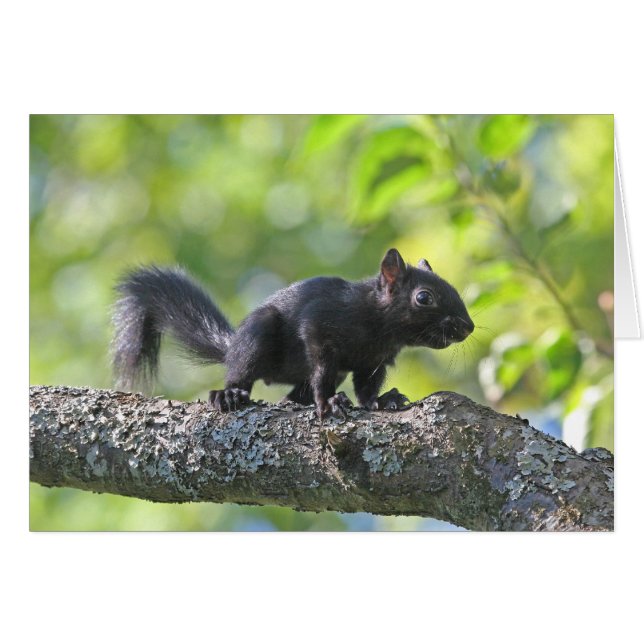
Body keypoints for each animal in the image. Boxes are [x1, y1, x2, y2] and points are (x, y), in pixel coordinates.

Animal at [112, 248, 474, 419]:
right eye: (424, 297)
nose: (468, 326)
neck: (378, 326)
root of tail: (231, 345)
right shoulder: (320, 325)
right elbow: (322, 368)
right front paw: (328, 401)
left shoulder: (375, 362)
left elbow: (367, 388)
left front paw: (383, 401)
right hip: (258, 335)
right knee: (241, 371)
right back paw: (229, 394)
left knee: (292, 394)